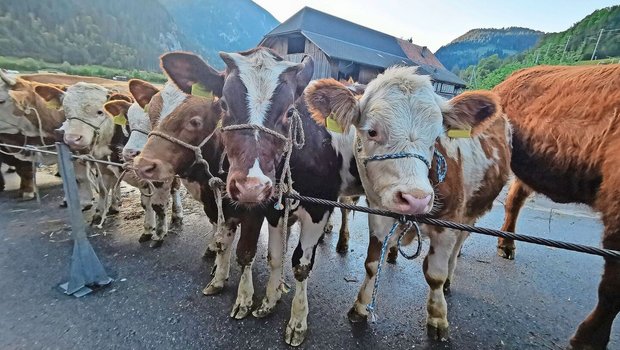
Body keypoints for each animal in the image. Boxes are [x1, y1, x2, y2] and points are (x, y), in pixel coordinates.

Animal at [306, 67, 512, 340]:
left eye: (437, 137)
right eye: (371, 131)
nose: (416, 199)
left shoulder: (448, 223)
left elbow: (435, 274)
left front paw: (438, 318)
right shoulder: (379, 214)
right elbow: (372, 264)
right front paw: (360, 307)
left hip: (471, 212)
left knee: (458, 245)